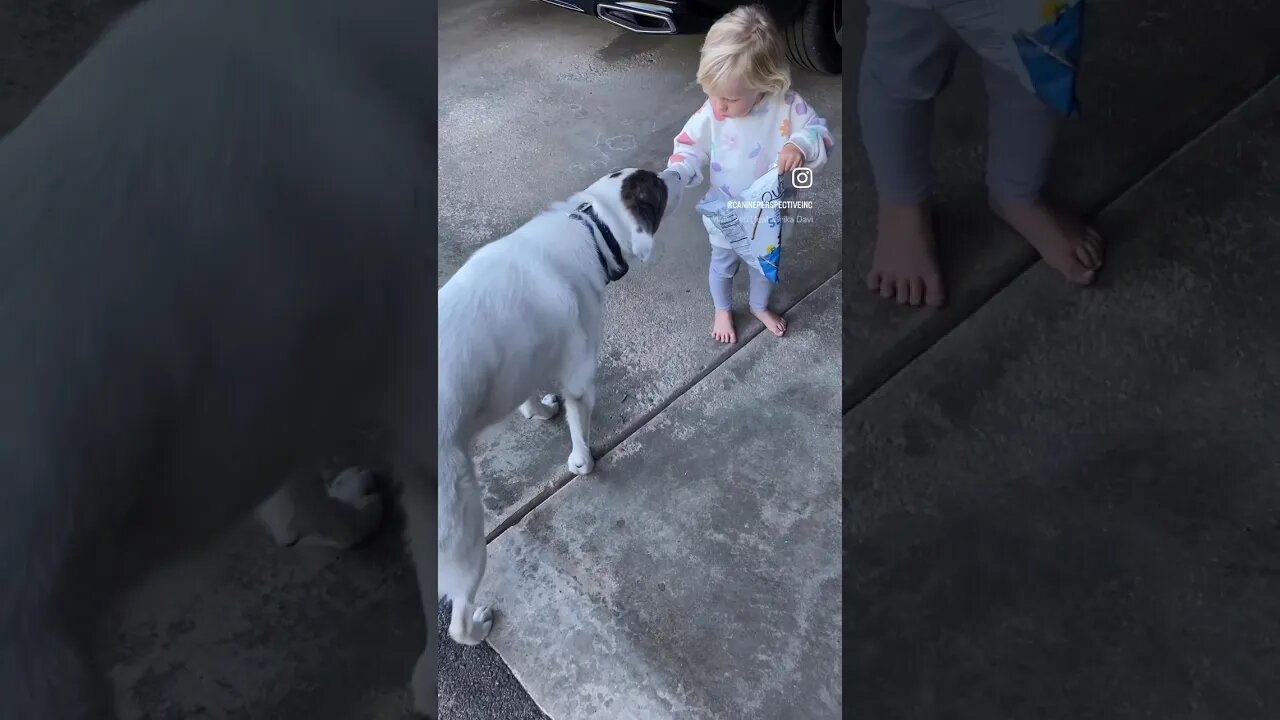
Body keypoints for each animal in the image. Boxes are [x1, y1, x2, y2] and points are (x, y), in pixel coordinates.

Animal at [437, 166, 680, 645]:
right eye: (658, 189)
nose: (674, 172)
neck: (589, 225)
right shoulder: (580, 378)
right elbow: (579, 430)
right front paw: (582, 463)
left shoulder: (525, 358)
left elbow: (529, 396)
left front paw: (538, 410)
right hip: (464, 529)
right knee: (457, 620)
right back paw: (479, 626)